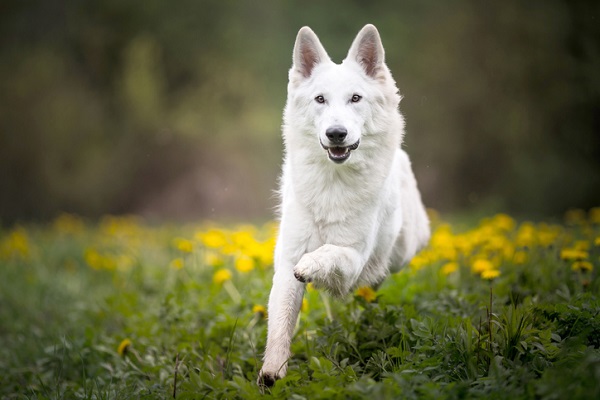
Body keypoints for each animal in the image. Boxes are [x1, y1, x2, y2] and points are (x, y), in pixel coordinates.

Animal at [258, 25, 432, 388]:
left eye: (355, 98)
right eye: (320, 99)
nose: (336, 133)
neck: (332, 183)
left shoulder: (353, 257)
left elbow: (329, 252)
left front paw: (311, 265)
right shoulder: (286, 264)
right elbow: (280, 324)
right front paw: (272, 371)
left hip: (402, 251)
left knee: (379, 273)